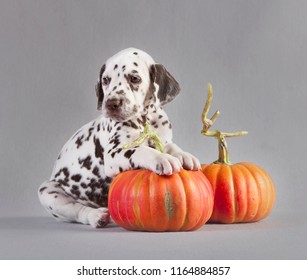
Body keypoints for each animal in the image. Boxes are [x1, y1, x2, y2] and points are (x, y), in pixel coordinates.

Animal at [38, 48, 202, 228]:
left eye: (134, 78)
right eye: (106, 80)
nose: (111, 103)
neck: (145, 121)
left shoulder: (163, 139)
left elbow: (171, 146)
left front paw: (185, 155)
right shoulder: (114, 153)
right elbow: (141, 150)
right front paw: (161, 158)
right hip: (47, 190)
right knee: (78, 211)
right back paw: (96, 216)